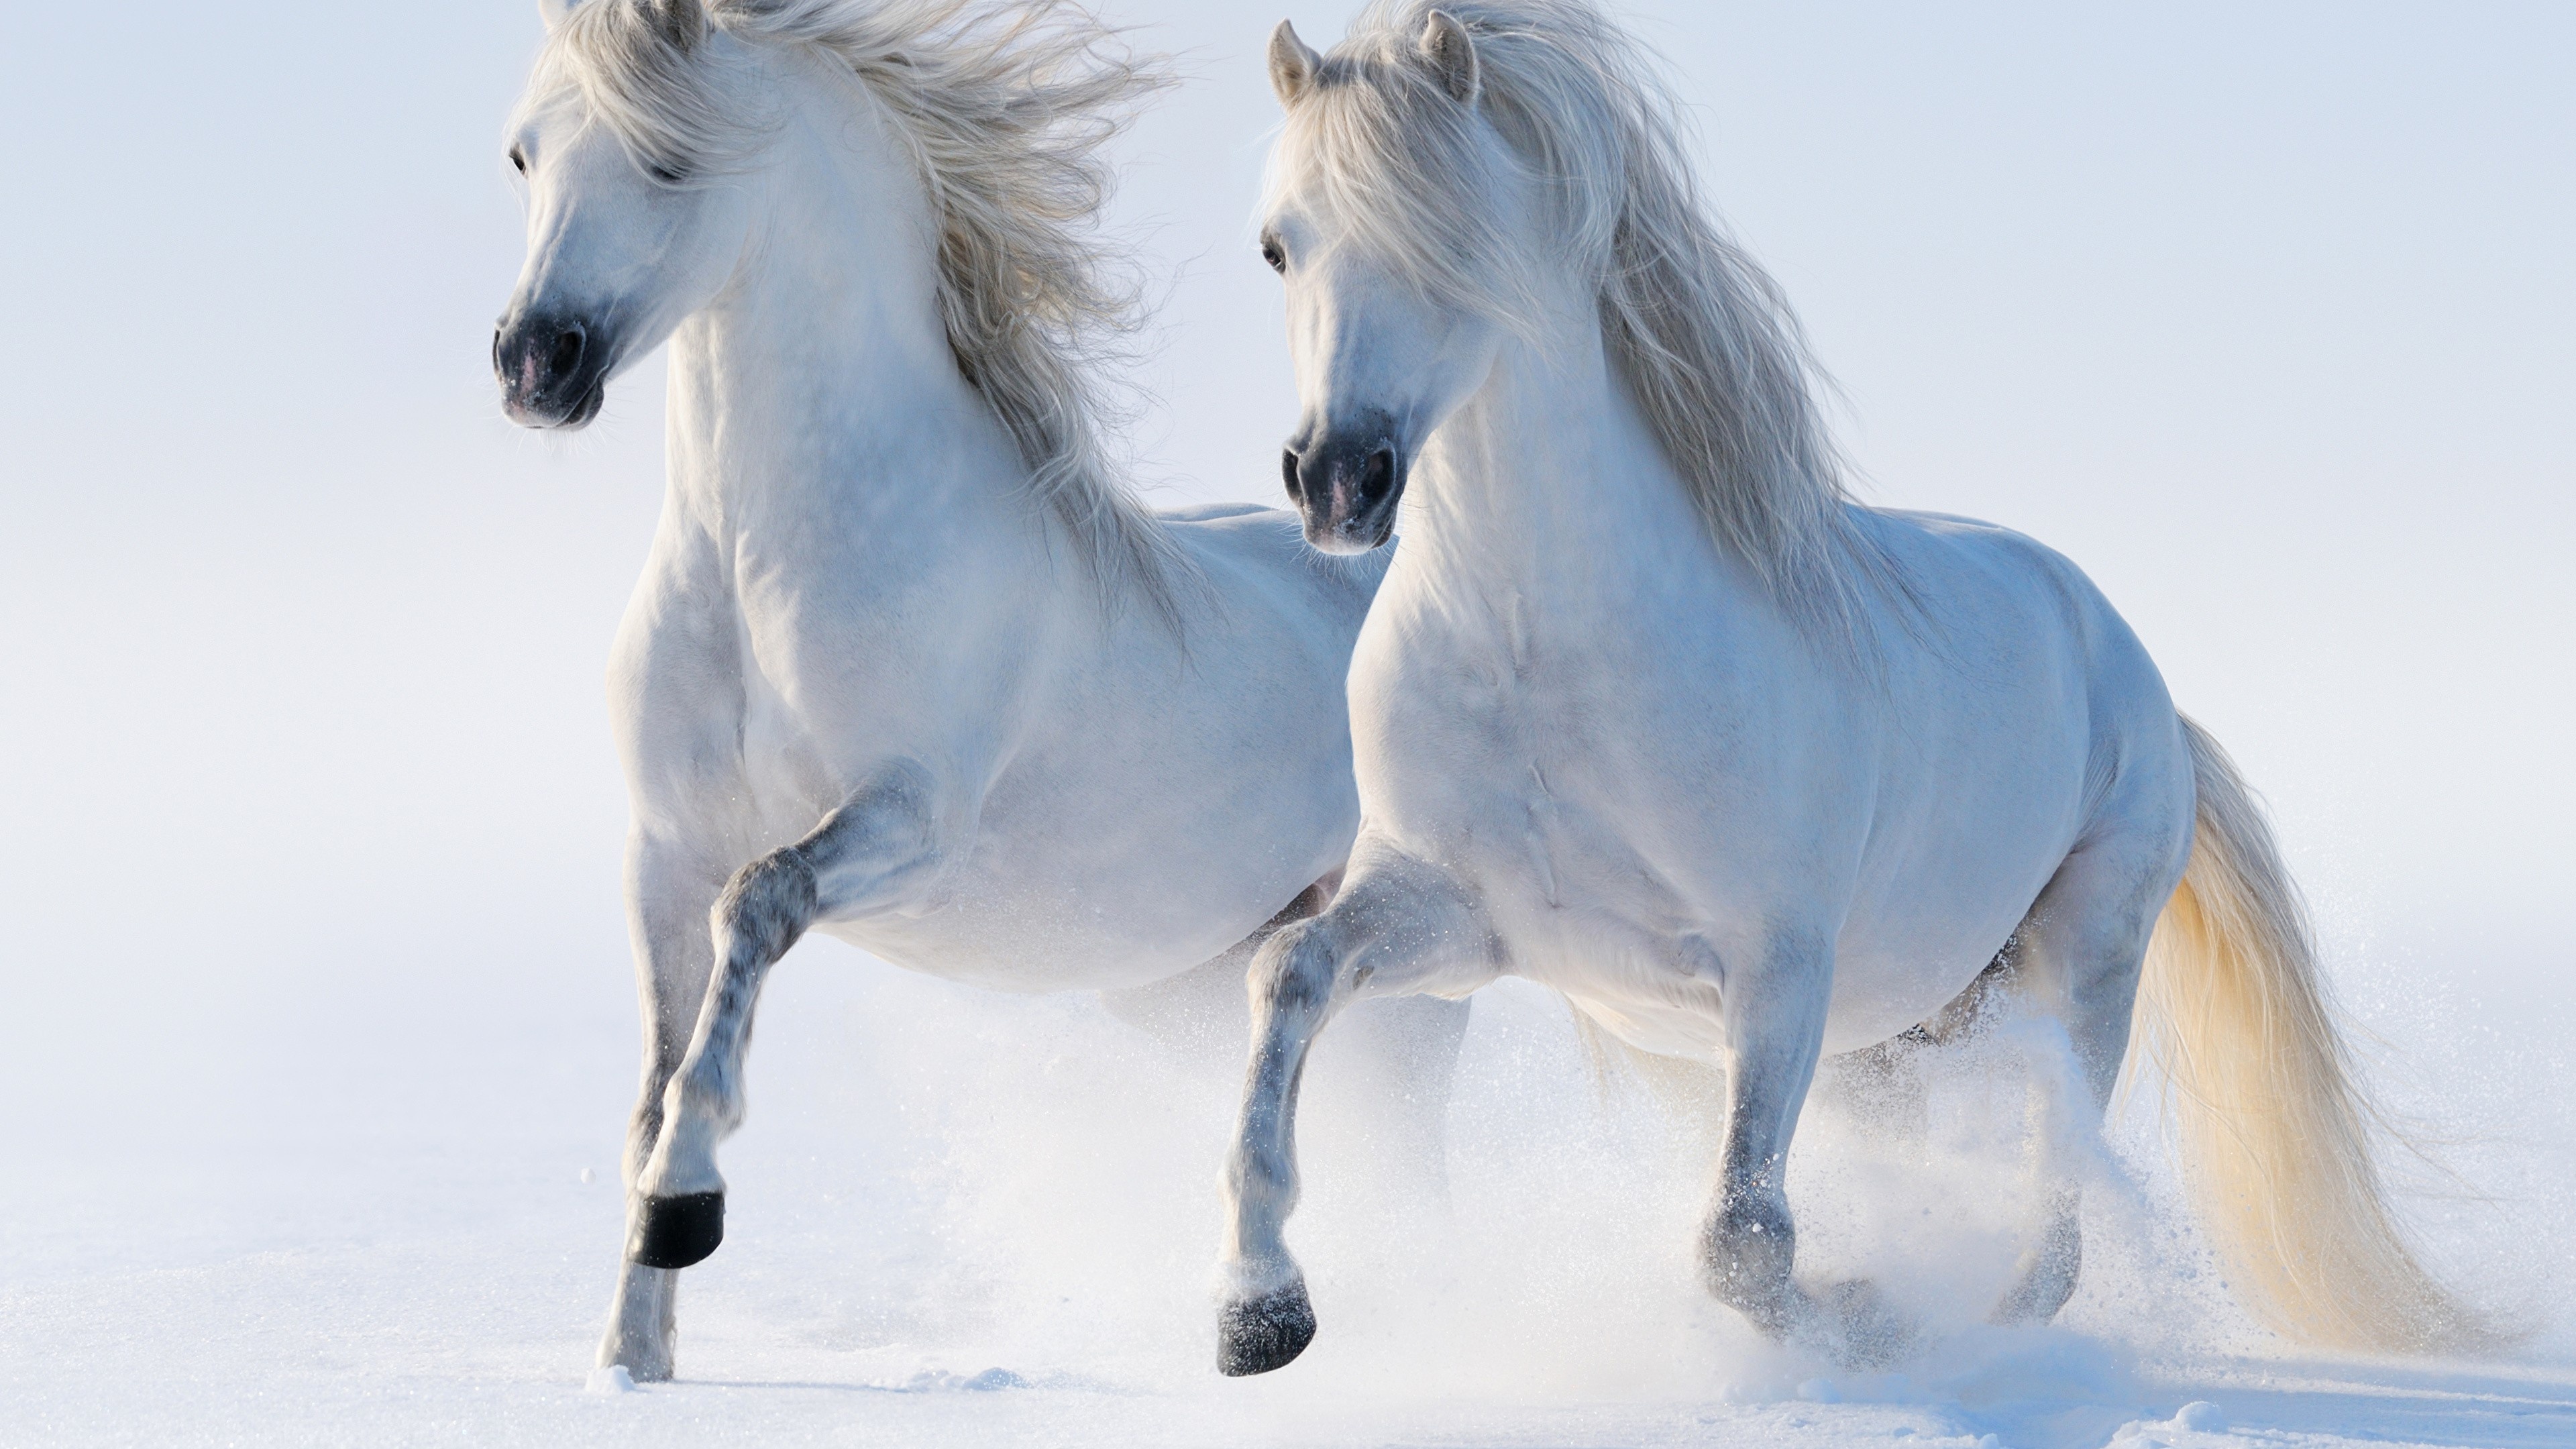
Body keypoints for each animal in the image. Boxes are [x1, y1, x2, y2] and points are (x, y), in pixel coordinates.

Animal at [497, 0, 1473, 1371]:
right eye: (524, 155)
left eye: (670, 160)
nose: (536, 364)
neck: (762, 566)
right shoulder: (661, 853)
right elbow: (650, 1081)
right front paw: (632, 1359)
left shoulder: (911, 823)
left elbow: (757, 911)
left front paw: (689, 1208)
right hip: (1186, 987)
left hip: (1411, 983)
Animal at [1216, 0, 2483, 1371]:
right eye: (1278, 246)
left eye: (1449, 237)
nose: (1338, 479)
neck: (1539, 656)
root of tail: (2135, 673)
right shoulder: (1454, 918)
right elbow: (1287, 974)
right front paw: (1259, 1310)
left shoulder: (1779, 970)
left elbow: (1744, 1241)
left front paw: (1865, 1318)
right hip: (1898, 1035)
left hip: (2078, 966)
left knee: (2056, 1214)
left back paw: (1979, 1327)